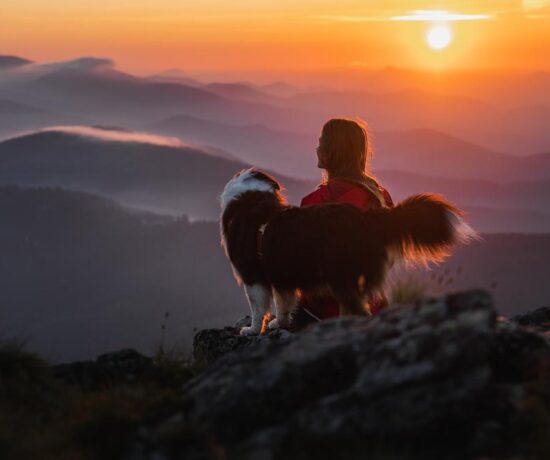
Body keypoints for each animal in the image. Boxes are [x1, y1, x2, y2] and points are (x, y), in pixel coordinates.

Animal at [220, 169, 478, 334]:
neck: (249, 199)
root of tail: (365, 219)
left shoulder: (252, 276)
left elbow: (257, 308)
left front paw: (252, 329)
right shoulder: (281, 276)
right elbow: (283, 303)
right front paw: (278, 324)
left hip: (340, 275)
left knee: (357, 310)